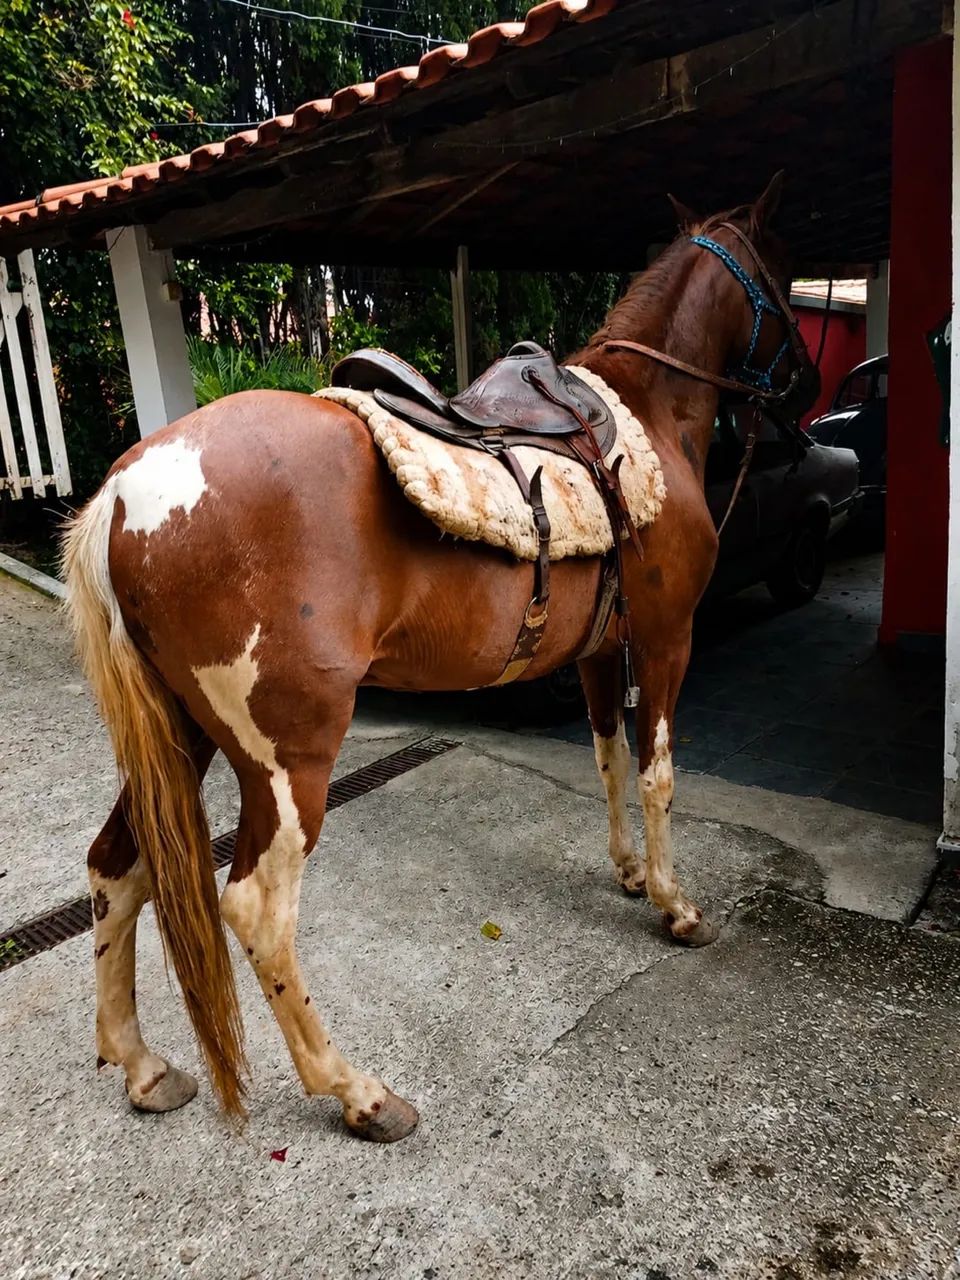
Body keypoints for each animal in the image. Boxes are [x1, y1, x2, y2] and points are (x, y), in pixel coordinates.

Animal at [63, 175, 817, 1142]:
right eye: (784, 273)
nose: (805, 383)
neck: (642, 414)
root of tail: (124, 493)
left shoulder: (599, 653)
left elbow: (608, 758)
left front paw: (626, 872)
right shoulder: (666, 640)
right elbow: (656, 775)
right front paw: (675, 905)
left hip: (179, 740)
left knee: (115, 868)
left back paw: (142, 1065)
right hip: (287, 763)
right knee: (257, 910)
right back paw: (358, 1093)